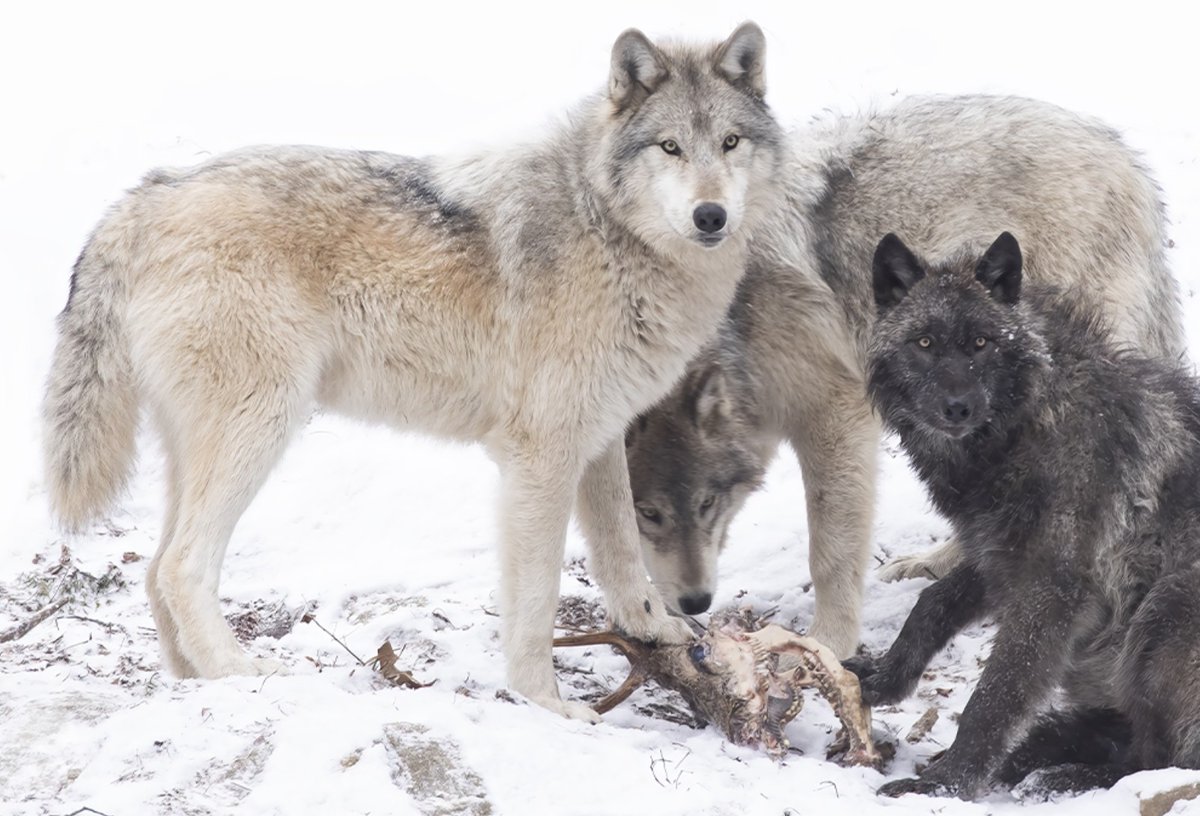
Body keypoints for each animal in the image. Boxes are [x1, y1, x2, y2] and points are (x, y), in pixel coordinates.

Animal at [41, 22, 788, 721]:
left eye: (729, 143)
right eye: (669, 147)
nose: (711, 215)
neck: (607, 228)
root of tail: (142, 198)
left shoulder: (599, 437)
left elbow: (619, 555)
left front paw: (654, 629)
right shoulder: (539, 455)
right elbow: (538, 597)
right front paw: (545, 703)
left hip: (200, 447)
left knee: (154, 571)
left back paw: (192, 681)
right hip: (260, 428)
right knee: (179, 567)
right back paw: (240, 672)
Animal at [624, 95, 1185, 657]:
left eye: (705, 503)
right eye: (646, 514)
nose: (694, 604)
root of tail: (1122, 154)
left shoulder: (837, 412)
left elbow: (829, 553)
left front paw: (826, 645)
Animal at [843, 231, 1200, 799]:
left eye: (982, 343)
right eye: (924, 343)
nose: (957, 407)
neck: (1028, 422)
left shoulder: (1052, 589)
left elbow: (994, 696)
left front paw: (946, 783)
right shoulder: (997, 553)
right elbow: (931, 603)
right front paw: (886, 677)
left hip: (1166, 610)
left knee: (1160, 760)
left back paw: (1069, 773)